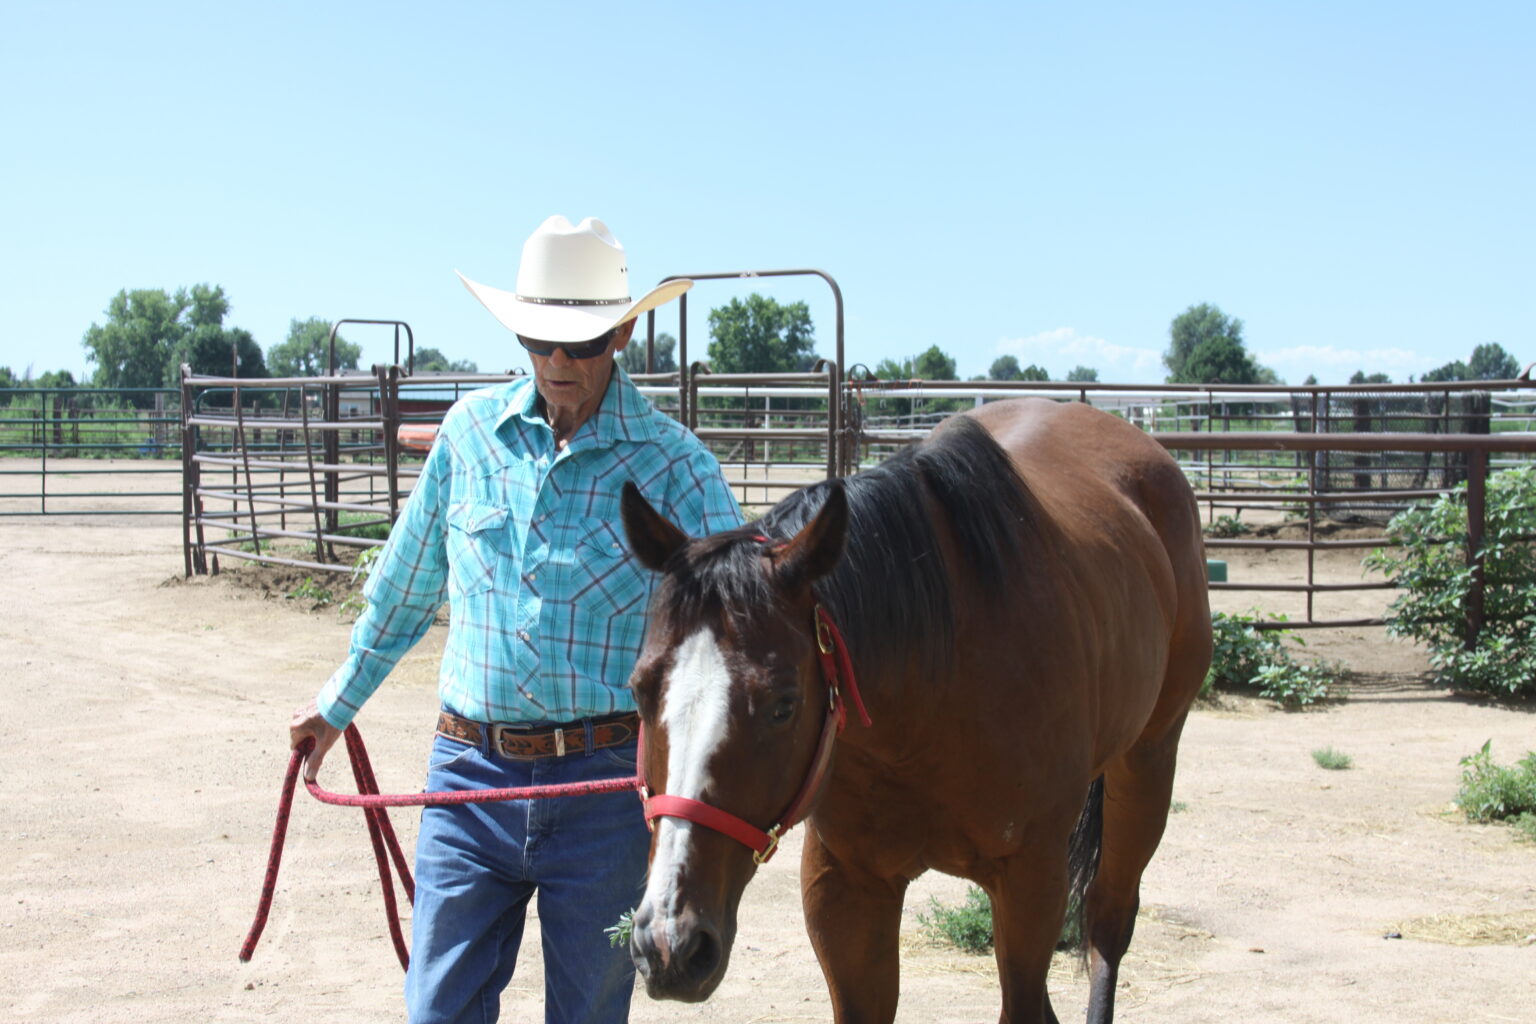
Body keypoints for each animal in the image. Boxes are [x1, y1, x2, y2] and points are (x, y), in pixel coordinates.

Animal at [619, 397, 1212, 1024]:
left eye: (783, 705)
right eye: (639, 690)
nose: (670, 945)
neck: (928, 699)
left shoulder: (1032, 885)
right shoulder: (847, 889)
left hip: (1147, 766)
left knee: (1106, 922)